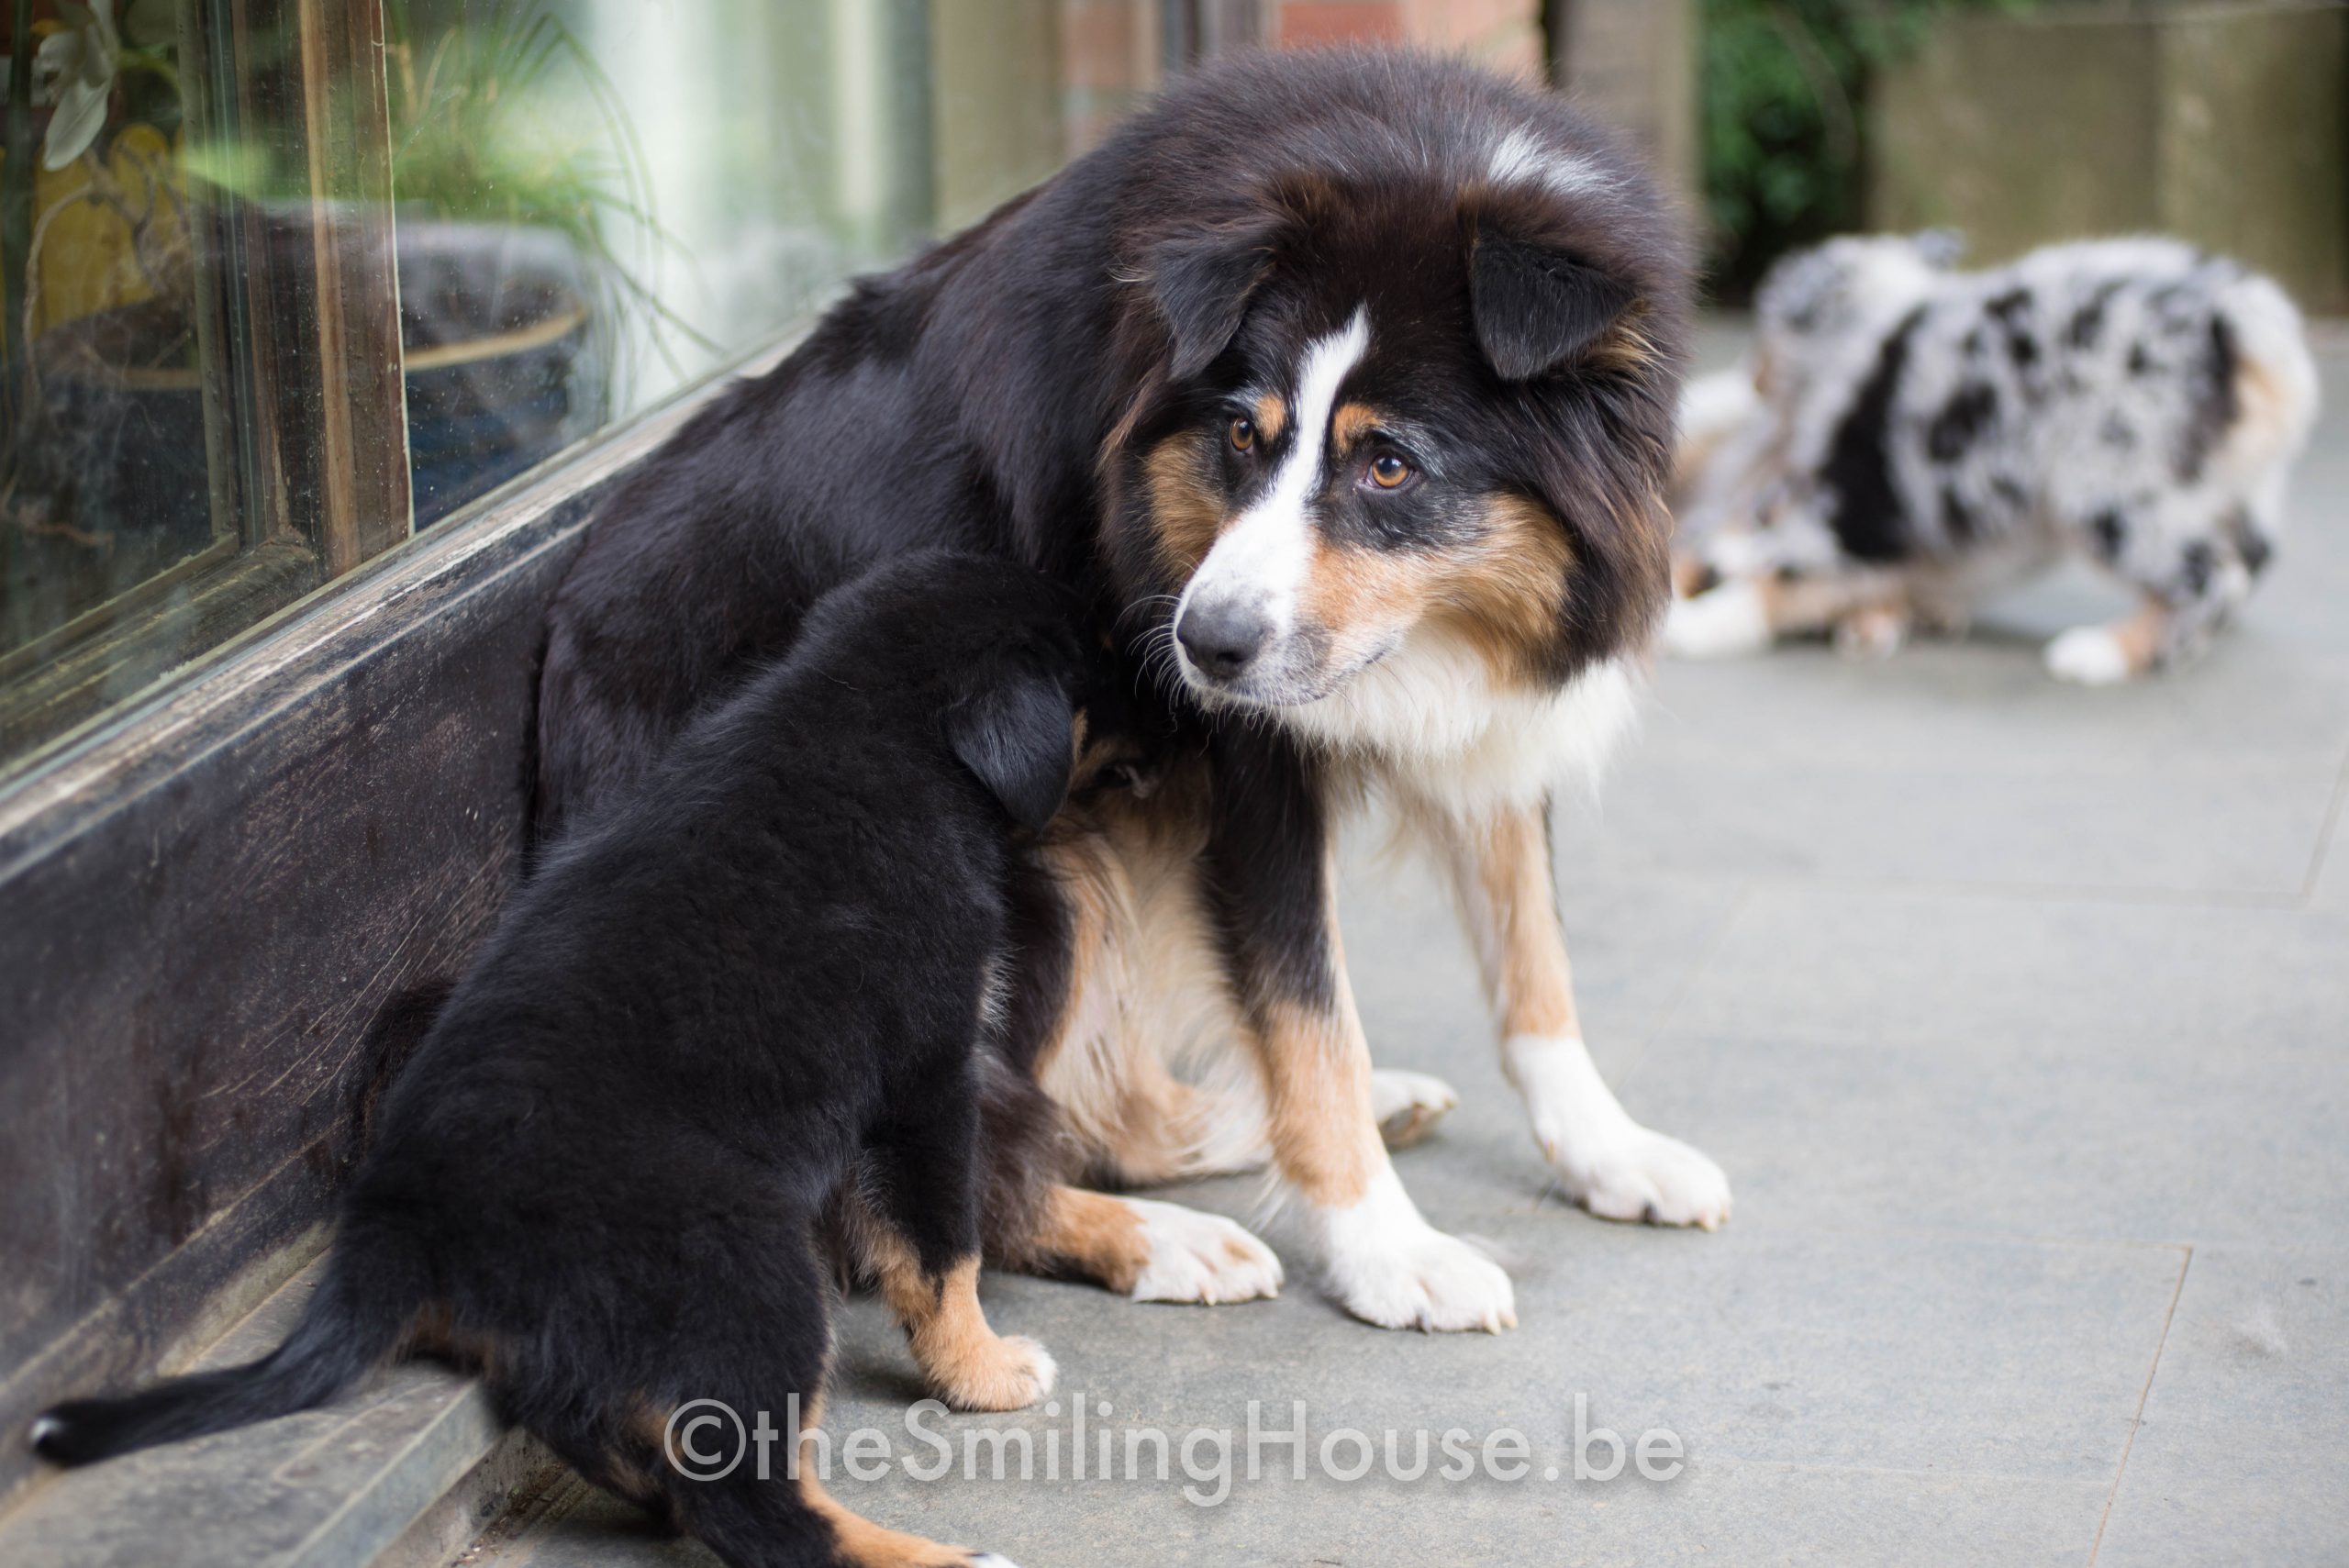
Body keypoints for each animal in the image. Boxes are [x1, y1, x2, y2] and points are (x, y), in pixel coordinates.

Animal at [33, 554, 1140, 1568]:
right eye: (1090, 668)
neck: (869, 719)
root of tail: (402, 1218)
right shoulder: (925, 1079)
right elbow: (942, 1250)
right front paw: (984, 1372)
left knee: (629, 1443)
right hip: (743, 1257)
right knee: (749, 1504)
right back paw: (931, 1554)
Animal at [535, 49, 1729, 1337]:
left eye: (1389, 464)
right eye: (1242, 436)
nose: (1200, 647)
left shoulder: (1490, 694)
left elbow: (1530, 953)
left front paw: (1610, 1150)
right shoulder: (1249, 767)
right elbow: (1308, 1017)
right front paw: (1388, 1251)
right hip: (1011, 863)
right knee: (947, 1172)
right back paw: (1166, 1238)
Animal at [1665, 233, 2319, 680]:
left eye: (1764, 328)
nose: (1751, 374)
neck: (1877, 318)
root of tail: (2242, 323)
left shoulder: (1857, 505)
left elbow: (1778, 574)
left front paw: (1696, 624)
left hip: (2110, 489)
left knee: (2211, 578)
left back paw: (2105, 653)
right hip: (2240, 493)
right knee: (2246, 565)